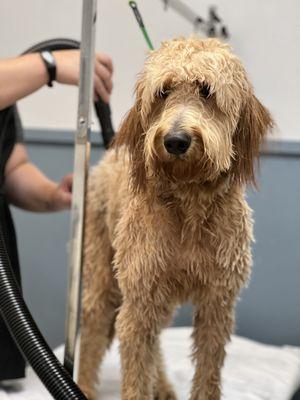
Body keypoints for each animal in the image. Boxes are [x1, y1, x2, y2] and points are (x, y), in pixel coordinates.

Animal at [78, 37, 274, 400]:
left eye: (206, 90)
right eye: (163, 92)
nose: (175, 140)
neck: (190, 205)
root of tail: (111, 153)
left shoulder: (217, 303)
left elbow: (208, 372)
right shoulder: (138, 302)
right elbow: (135, 372)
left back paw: (165, 387)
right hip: (102, 273)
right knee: (94, 328)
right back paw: (83, 385)